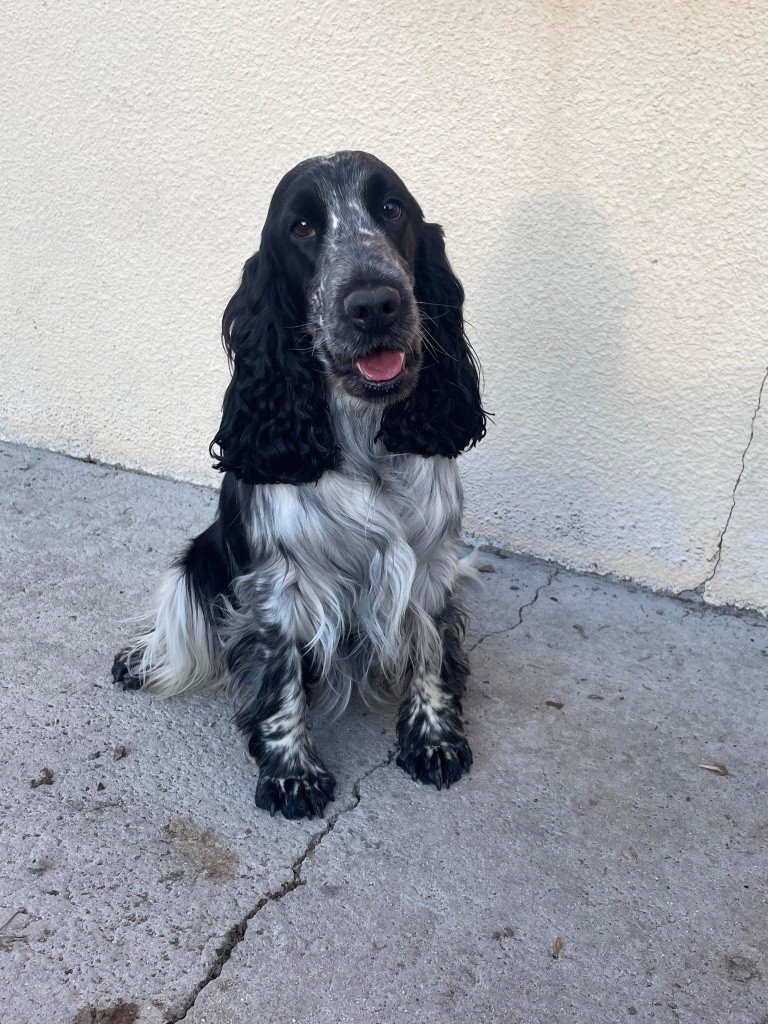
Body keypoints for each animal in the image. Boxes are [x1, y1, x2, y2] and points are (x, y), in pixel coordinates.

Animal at [112, 151, 487, 819]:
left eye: (391, 209)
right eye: (303, 228)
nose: (374, 304)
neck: (363, 439)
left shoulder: (431, 563)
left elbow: (432, 652)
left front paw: (435, 740)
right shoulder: (276, 583)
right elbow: (279, 671)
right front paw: (292, 774)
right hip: (201, 561)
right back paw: (139, 657)